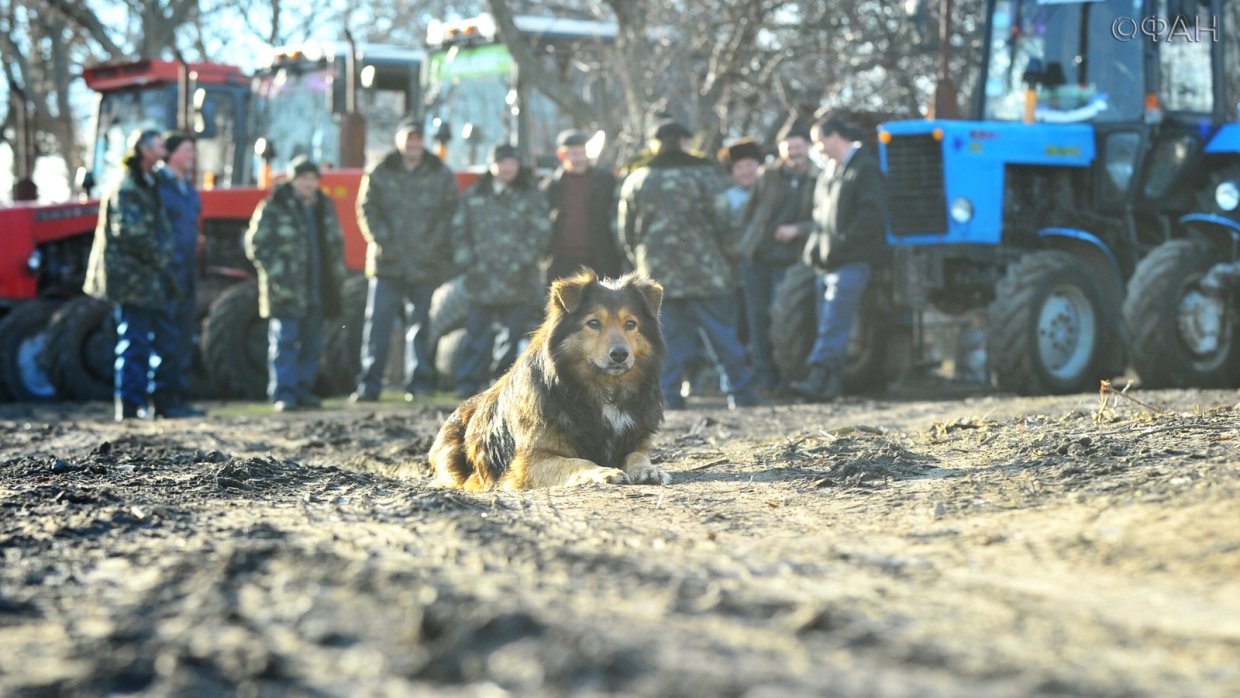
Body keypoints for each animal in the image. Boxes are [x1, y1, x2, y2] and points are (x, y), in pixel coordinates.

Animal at [431, 270, 674, 488]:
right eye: (594, 323)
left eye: (631, 324)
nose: (620, 354)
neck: (603, 391)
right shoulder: (528, 462)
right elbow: (578, 462)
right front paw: (604, 471)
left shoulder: (636, 440)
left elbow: (637, 455)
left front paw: (647, 469)